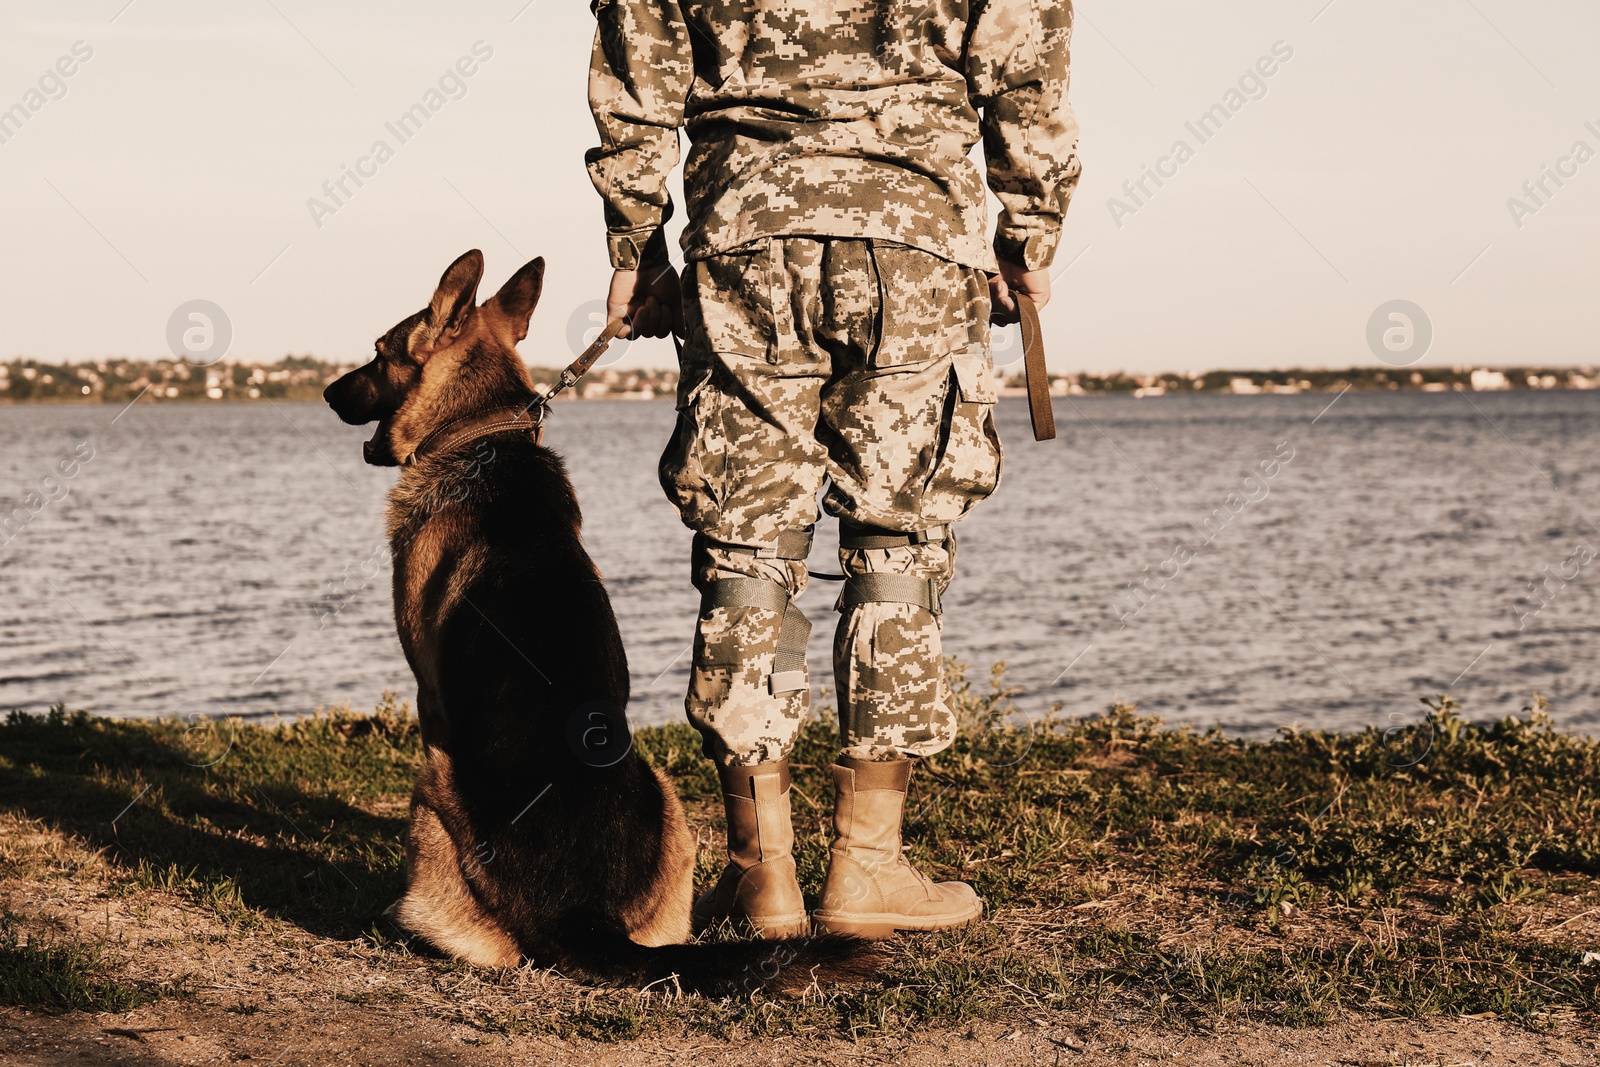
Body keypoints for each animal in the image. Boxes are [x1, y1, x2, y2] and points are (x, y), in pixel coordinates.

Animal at [326, 252, 876, 1004]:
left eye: (380, 352)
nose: (327, 392)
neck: (483, 435)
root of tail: (584, 915)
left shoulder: (429, 697)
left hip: (432, 782)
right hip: (669, 796)